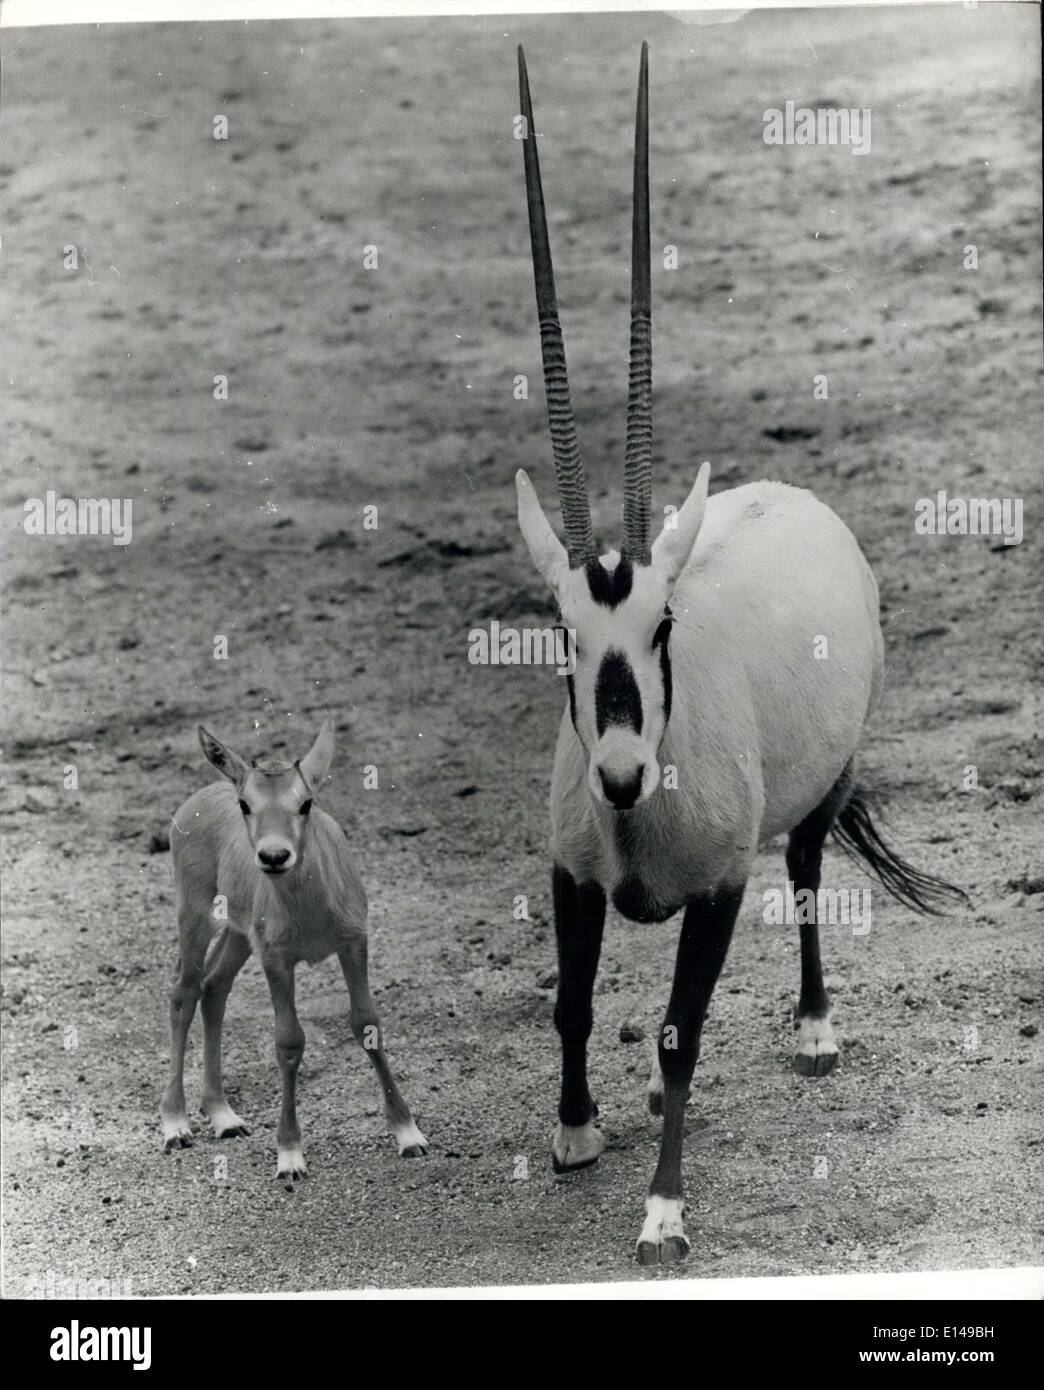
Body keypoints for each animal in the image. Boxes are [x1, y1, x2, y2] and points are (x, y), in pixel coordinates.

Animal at [160, 722, 428, 1178]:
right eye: (245, 804)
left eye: (306, 803)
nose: (273, 856)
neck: (312, 911)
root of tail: (197, 799)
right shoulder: (276, 958)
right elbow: (288, 1041)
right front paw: (289, 1154)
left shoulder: (353, 941)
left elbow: (367, 1023)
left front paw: (409, 1135)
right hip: (195, 911)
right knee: (184, 992)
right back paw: (176, 1123)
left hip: (239, 933)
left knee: (214, 987)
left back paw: (223, 1116)